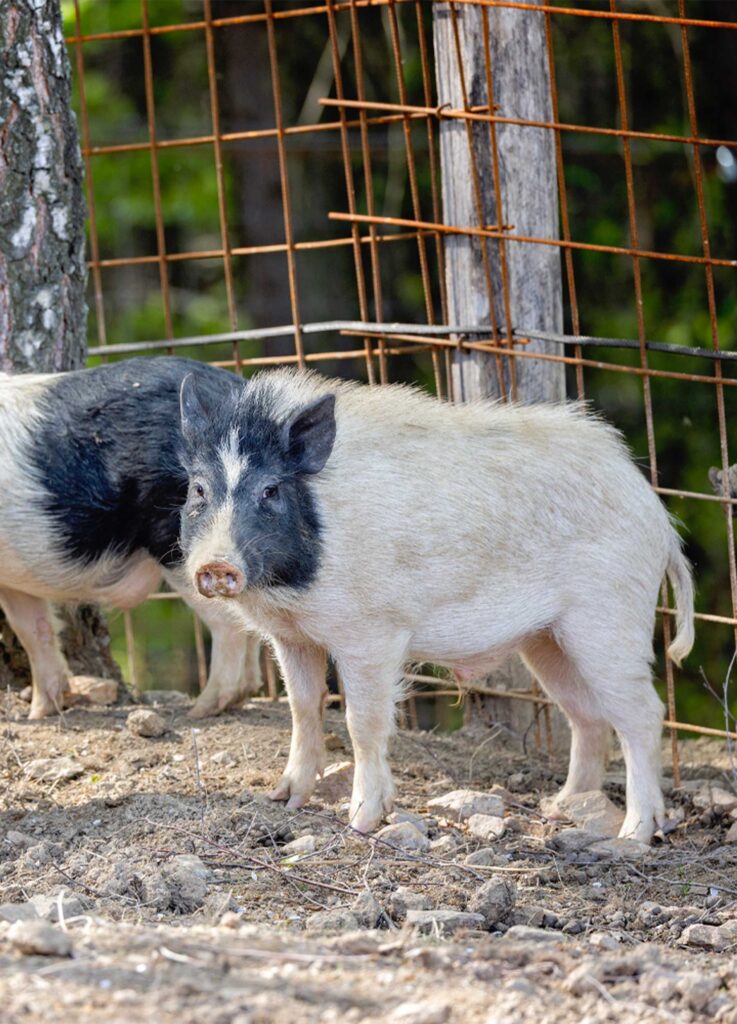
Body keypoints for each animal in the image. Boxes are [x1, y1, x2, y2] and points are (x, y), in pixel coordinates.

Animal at [0, 356, 261, 720]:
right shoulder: (14, 582)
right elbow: (34, 629)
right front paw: (39, 713)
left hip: (183, 547)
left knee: (228, 621)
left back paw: (200, 709)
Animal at [178, 368, 694, 843]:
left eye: (270, 490)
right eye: (199, 490)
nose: (217, 565)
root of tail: (658, 517)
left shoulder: (371, 634)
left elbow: (362, 722)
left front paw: (362, 822)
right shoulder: (292, 637)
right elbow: (303, 708)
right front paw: (284, 800)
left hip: (610, 617)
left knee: (643, 715)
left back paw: (632, 836)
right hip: (547, 639)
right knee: (587, 716)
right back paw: (560, 807)